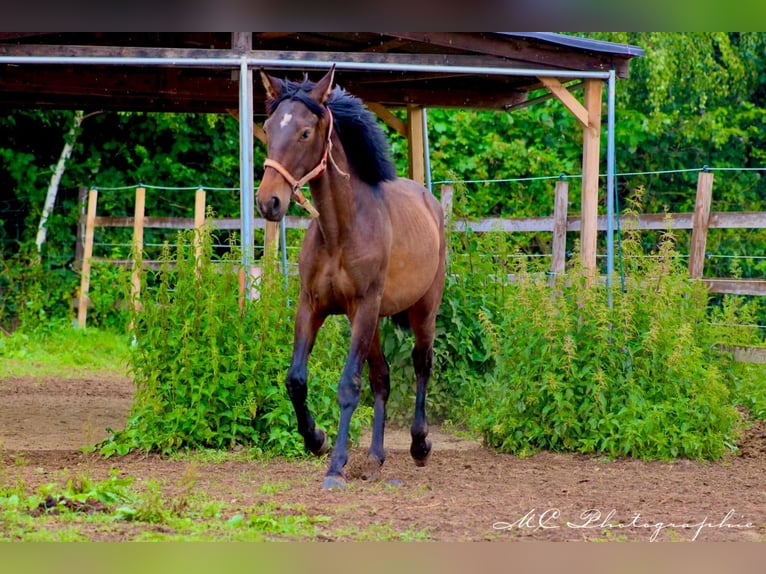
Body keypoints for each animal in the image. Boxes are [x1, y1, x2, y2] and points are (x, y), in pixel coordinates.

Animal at [258, 66, 450, 490]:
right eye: (267, 127)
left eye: (305, 133)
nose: (269, 202)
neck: (339, 232)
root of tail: (430, 203)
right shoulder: (312, 306)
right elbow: (296, 379)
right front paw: (315, 439)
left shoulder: (363, 307)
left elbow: (348, 385)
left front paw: (336, 467)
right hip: (374, 322)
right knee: (382, 378)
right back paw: (376, 458)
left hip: (422, 311)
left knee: (421, 364)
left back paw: (419, 446)